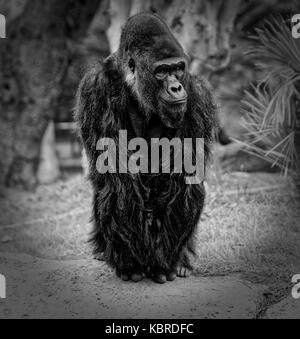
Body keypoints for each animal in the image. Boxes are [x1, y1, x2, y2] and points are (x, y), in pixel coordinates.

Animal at [74, 12, 217, 284]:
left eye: (178, 68)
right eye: (161, 71)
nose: (176, 87)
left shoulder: (197, 95)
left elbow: (183, 175)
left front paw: (163, 264)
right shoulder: (96, 87)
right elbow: (117, 178)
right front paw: (132, 264)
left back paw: (179, 261)